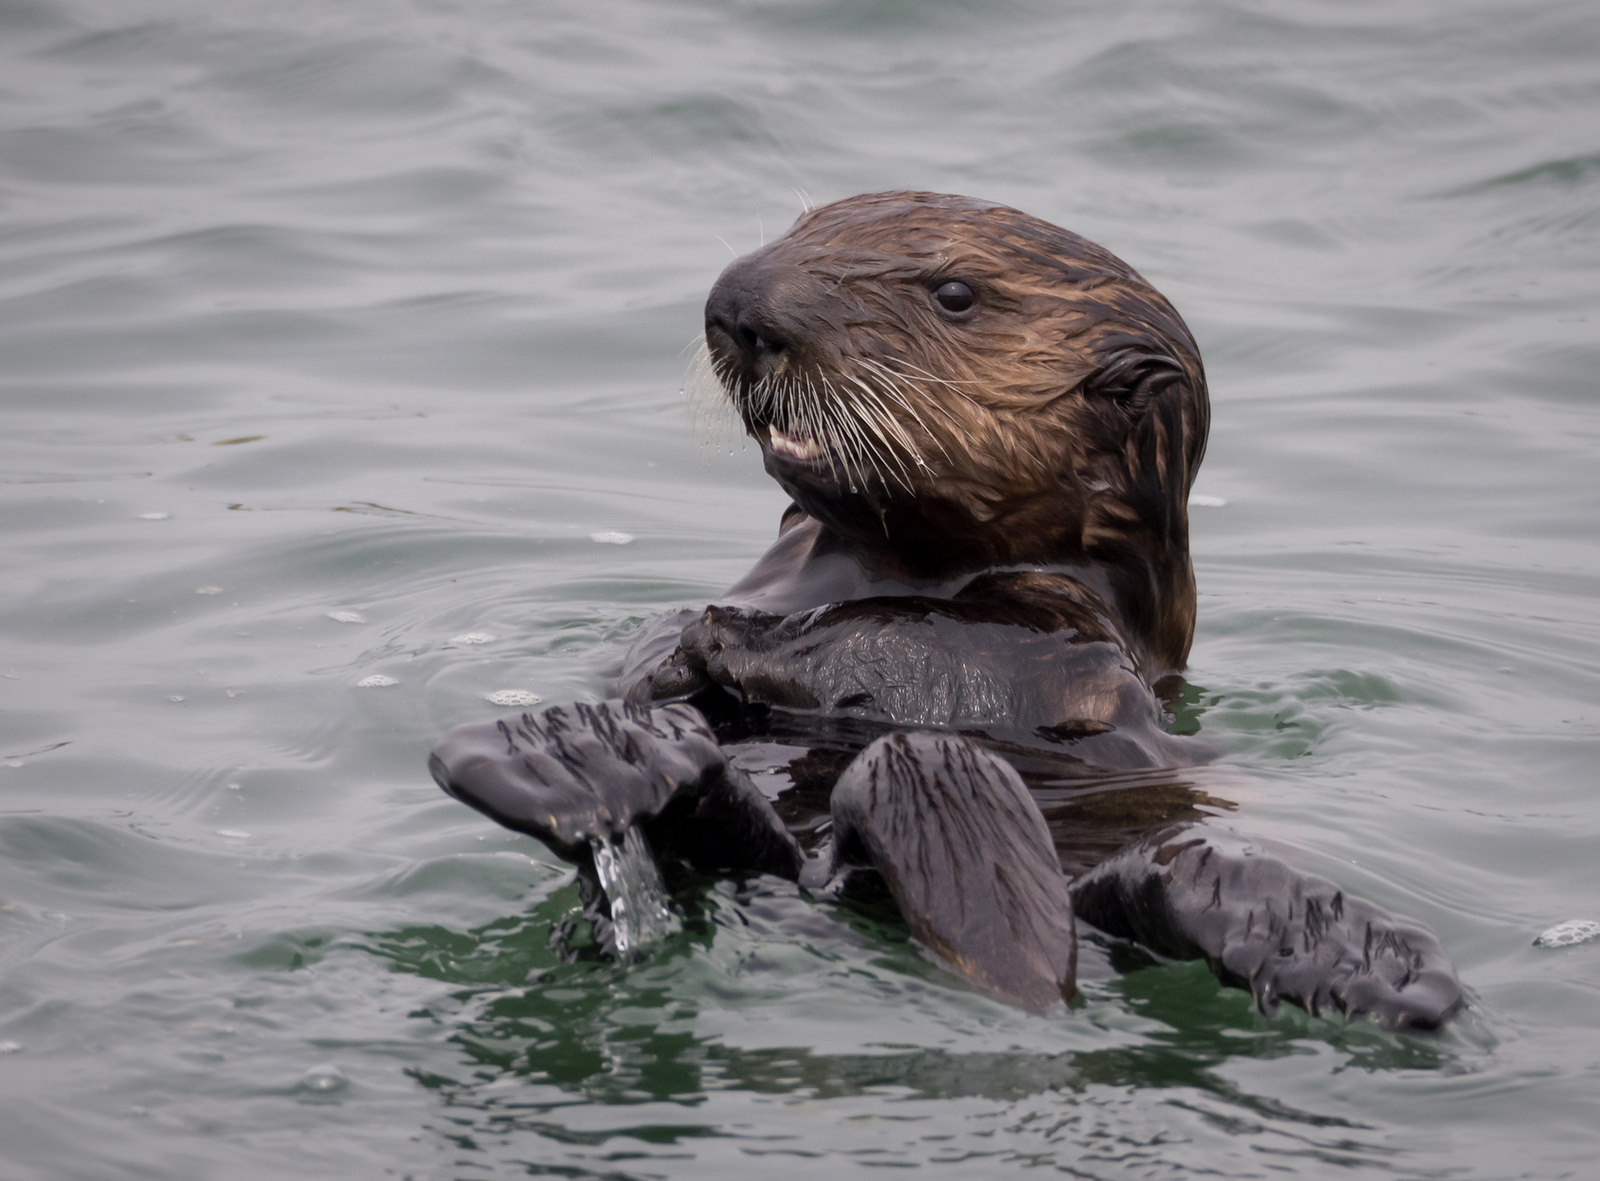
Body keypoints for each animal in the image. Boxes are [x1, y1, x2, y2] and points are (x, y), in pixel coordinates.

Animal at [430, 192, 1463, 1031]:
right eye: (807, 224)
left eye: (955, 293)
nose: (739, 304)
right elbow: (652, 646)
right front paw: (678, 650)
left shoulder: (1069, 647)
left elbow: (933, 657)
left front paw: (723, 638)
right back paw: (578, 759)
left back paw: (1345, 948)